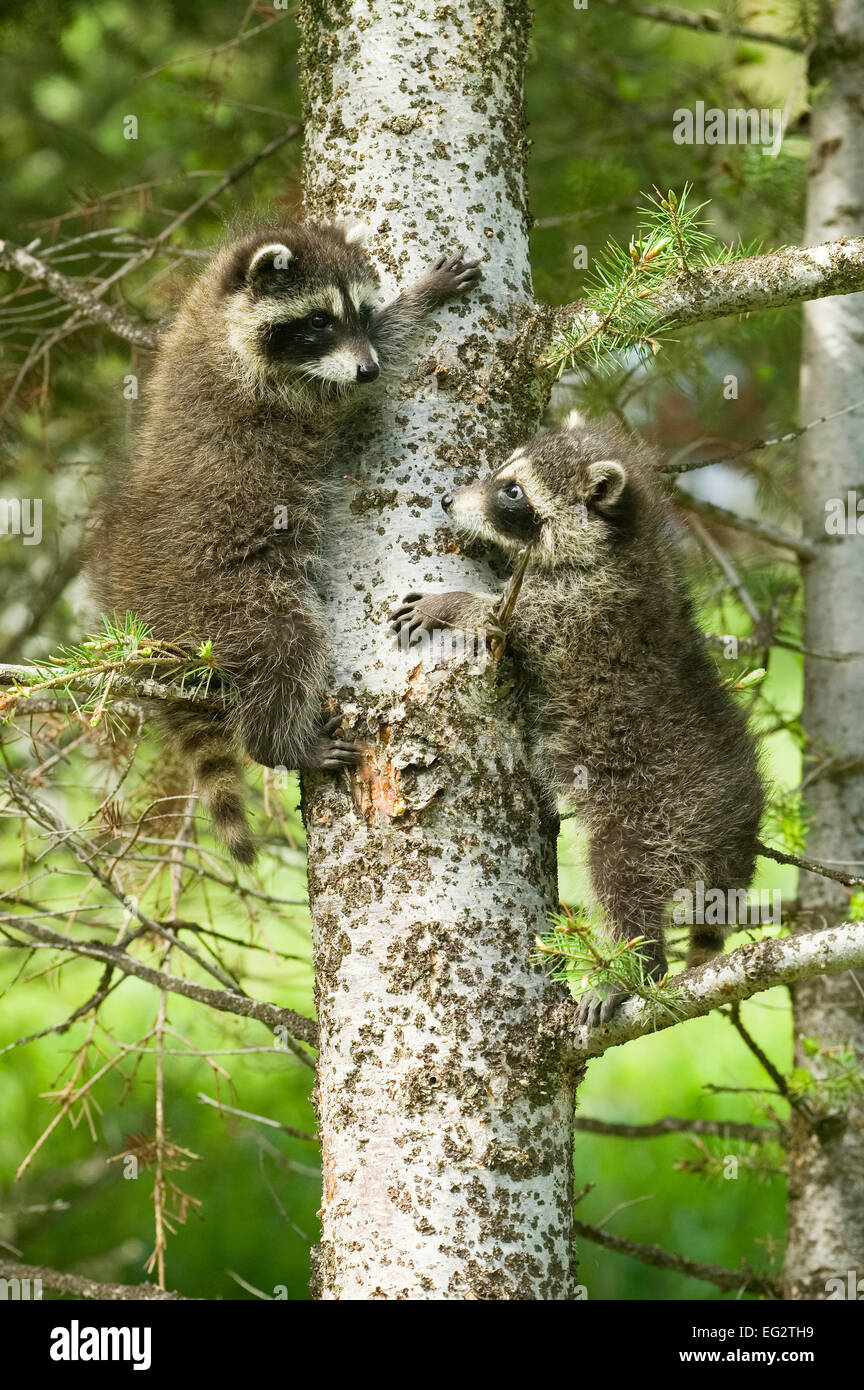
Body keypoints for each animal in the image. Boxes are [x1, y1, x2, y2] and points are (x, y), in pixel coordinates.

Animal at [91, 218, 483, 861]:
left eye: (359, 312)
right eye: (319, 320)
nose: (369, 369)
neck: (217, 318)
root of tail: (140, 619)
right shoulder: (276, 397)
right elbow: (344, 389)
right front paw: (417, 300)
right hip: (227, 599)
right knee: (287, 644)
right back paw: (280, 742)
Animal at [391, 408, 766, 1023]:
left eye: (513, 491)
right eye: (500, 472)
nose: (447, 499)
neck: (622, 539)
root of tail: (741, 817)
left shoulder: (581, 607)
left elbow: (500, 620)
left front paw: (449, 604)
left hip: (658, 813)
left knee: (625, 881)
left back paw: (635, 965)